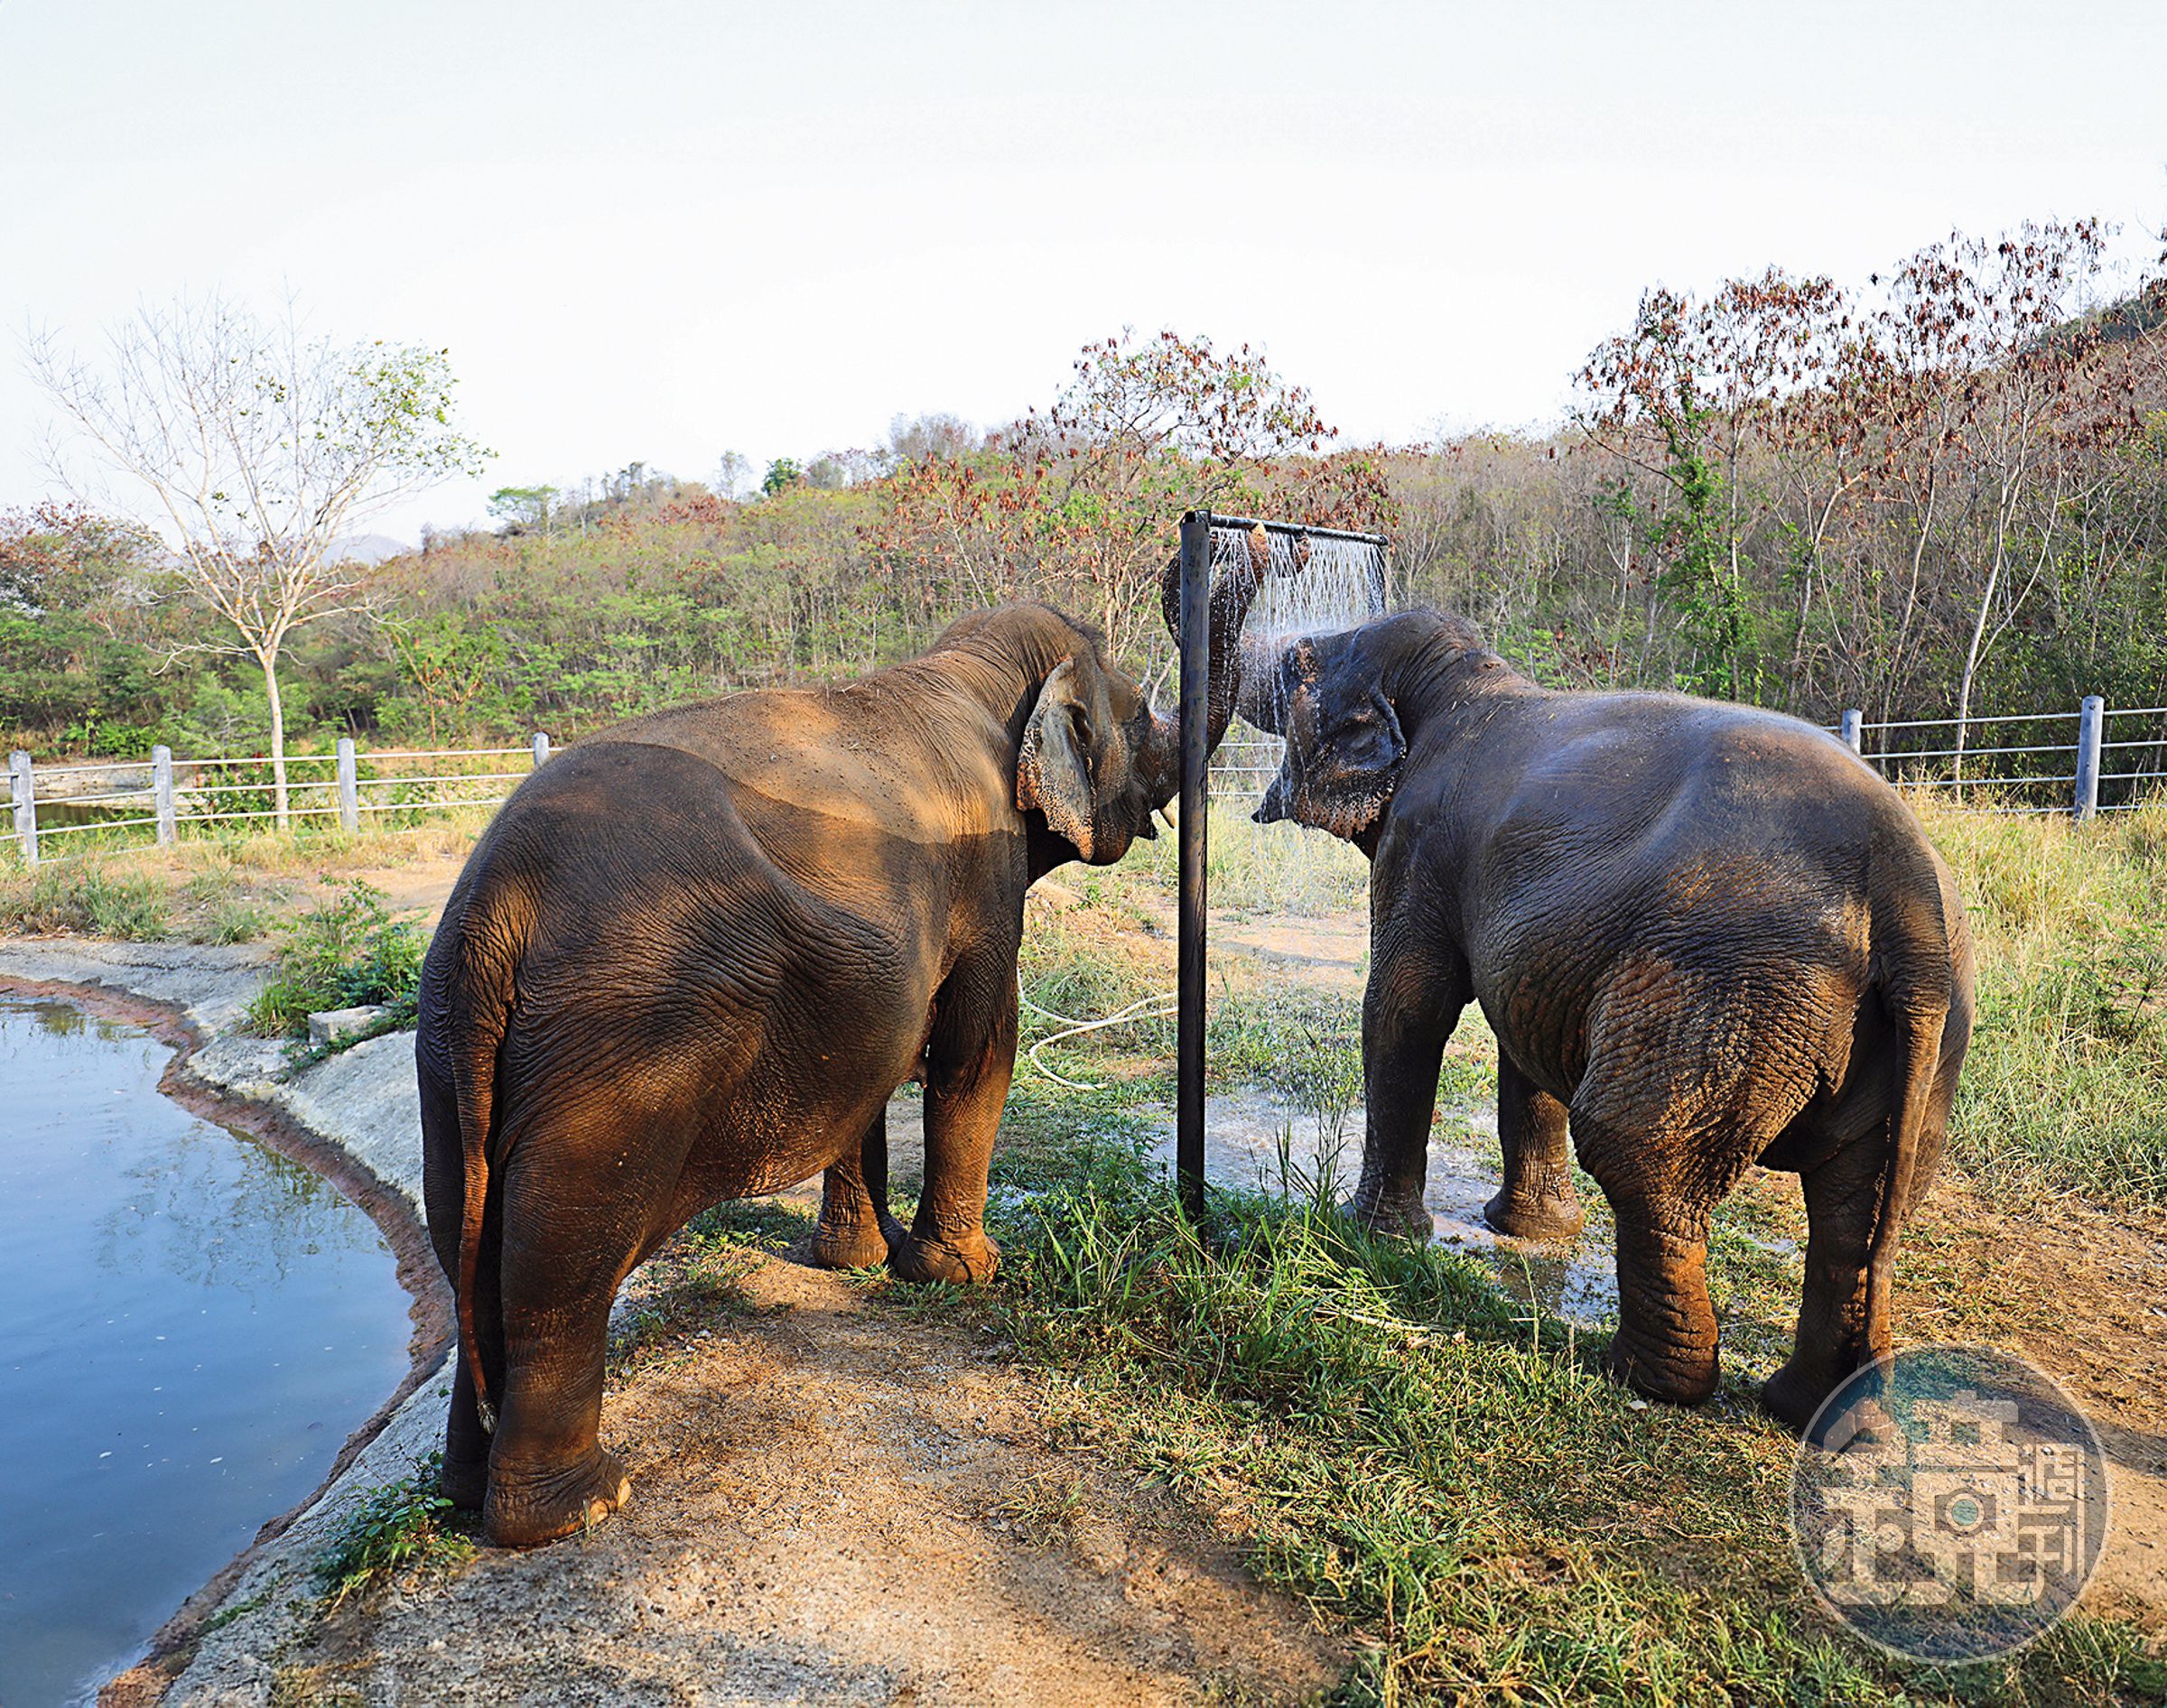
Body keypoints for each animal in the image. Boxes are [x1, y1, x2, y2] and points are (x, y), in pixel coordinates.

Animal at [417, 564, 1263, 1547]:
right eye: (1142, 715)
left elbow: (876, 1069)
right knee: (565, 1241)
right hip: (625, 1030)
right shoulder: (985, 883)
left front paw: (853, 1263)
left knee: (461, 1225)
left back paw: (465, 1491)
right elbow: (978, 1047)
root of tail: (501, 898)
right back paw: (580, 1508)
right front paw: (963, 1274)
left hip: (450, 1037)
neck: (973, 670)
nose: (1236, 552)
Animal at [1236, 609, 1974, 1431]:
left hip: (1719, 990)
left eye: (1300, 661)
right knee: (1859, 1203)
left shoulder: (1422, 841)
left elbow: (1405, 1012)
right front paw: (1529, 1233)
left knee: (1639, 1151)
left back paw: (1643, 1377)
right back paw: (1810, 1412)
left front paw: (1370, 1234)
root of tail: (1907, 892)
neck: (1461, 676)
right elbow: (1521, 1030)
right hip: (1918, 1038)